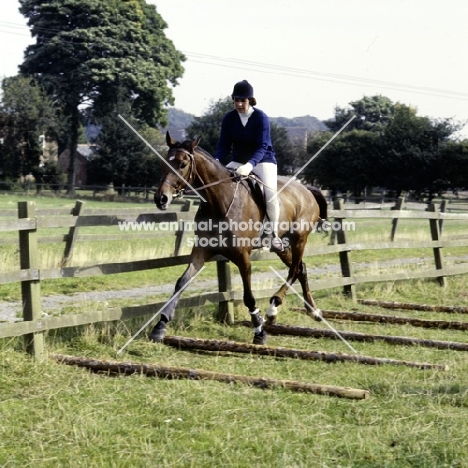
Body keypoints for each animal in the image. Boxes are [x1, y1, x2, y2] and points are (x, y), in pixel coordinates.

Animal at [148, 133, 328, 346]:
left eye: (183, 164)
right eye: (163, 163)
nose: (161, 199)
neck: (218, 202)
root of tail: (306, 189)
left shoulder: (243, 256)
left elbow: (248, 296)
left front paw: (259, 331)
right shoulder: (201, 250)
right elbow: (181, 282)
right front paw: (160, 325)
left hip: (299, 238)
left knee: (294, 270)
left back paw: (273, 308)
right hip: (282, 246)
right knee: (301, 268)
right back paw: (313, 311)